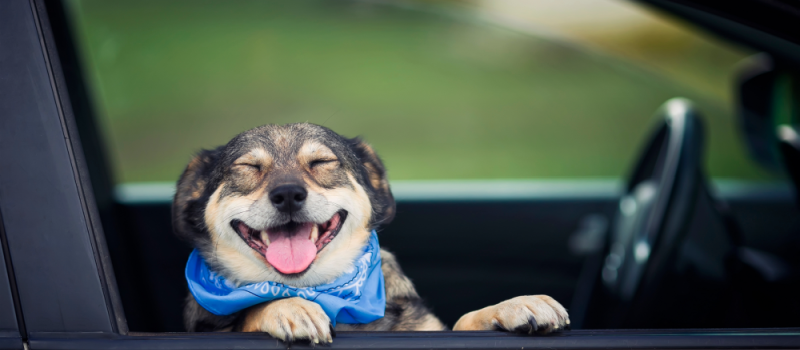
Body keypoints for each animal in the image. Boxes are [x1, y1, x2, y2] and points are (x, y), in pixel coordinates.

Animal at [175, 122, 568, 342]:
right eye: (247, 167)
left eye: (322, 162)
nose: (287, 194)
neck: (322, 291)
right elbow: (253, 310)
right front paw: (287, 306)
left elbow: (464, 320)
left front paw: (515, 305)